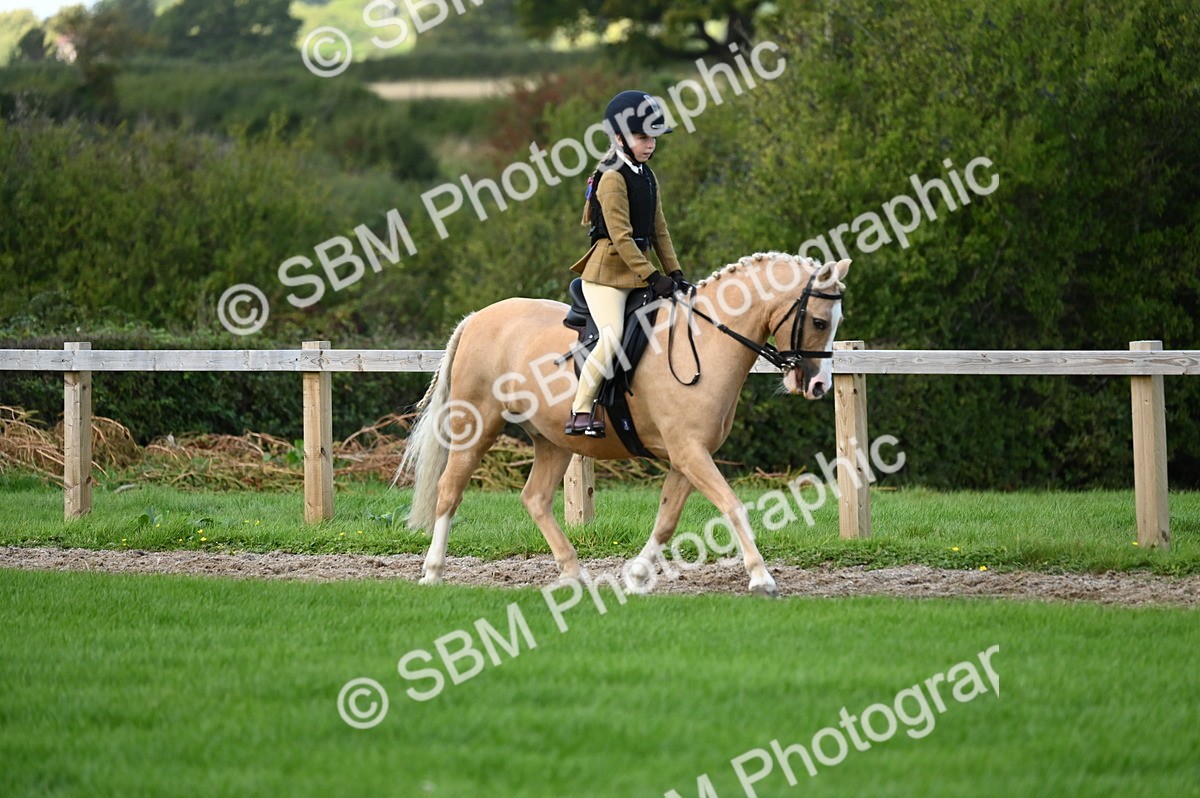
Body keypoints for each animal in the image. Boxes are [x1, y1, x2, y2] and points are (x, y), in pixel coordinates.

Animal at [397, 252, 850, 597]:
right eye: (819, 322)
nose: (818, 385)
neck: (705, 342)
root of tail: (476, 318)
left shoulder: (687, 457)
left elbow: (667, 522)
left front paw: (635, 576)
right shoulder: (690, 452)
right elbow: (733, 506)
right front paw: (761, 578)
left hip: (552, 440)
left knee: (535, 498)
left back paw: (573, 574)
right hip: (476, 427)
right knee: (449, 491)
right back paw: (433, 573)